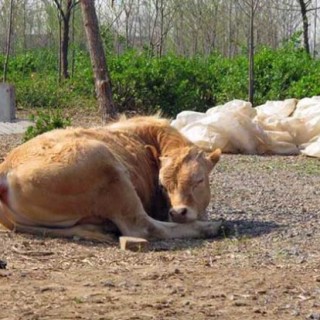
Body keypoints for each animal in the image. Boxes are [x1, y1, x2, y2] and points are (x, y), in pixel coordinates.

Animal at [0, 116, 222, 241]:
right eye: (162, 186)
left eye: (199, 180)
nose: (178, 212)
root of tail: (6, 168)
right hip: (109, 170)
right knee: (143, 228)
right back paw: (210, 228)